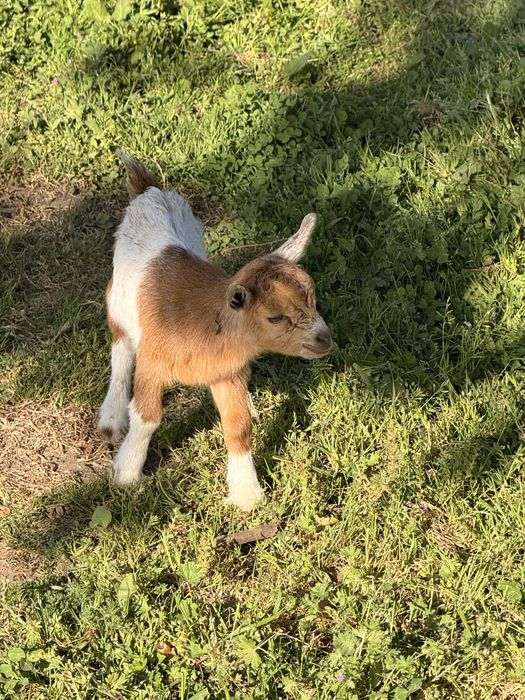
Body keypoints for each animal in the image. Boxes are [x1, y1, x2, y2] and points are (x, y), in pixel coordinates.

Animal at [98, 151, 332, 511]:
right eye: (275, 317)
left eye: (313, 299)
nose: (324, 339)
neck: (203, 325)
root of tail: (149, 189)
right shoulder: (153, 360)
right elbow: (147, 415)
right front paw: (126, 474)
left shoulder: (227, 372)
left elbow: (238, 425)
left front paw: (246, 494)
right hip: (119, 299)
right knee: (121, 346)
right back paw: (111, 421)